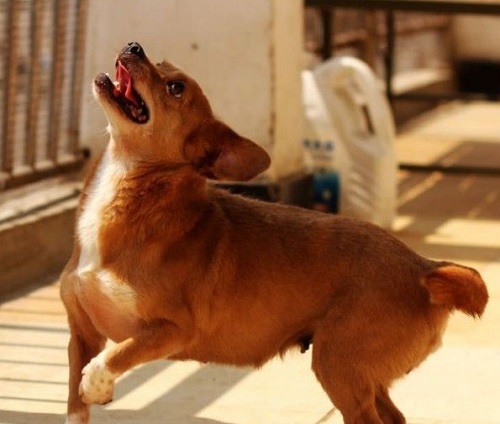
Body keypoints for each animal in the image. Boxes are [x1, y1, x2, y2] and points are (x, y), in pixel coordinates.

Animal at [59, 42, 488, 424]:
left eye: (175, 87)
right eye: (159, 63)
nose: (134, 46)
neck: (130, 192)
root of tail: (424, 268)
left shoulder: (172, 330)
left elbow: (114, 357)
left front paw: (96, 382)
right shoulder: (81, 335)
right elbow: (75, 405)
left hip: (338, 363)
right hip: (360, 371)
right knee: (394, 417)